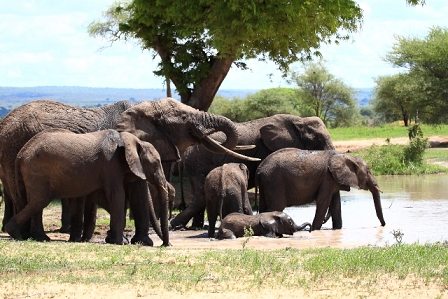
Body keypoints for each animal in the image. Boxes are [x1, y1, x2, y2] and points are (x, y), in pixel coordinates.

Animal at [5, 129, 168, 246]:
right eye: (156, 163)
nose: (166, 245)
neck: (128, 139)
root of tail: (21, 153)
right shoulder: (110, 165)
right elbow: (117, 195)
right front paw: (119, 242)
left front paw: (114, 239)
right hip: (36, 171)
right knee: (39, 201)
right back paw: (15, 233)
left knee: (35, 203)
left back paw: (40, 238)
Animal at [170, 115, 334, 230]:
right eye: (318, 140)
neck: (299, 121)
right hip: (198, 162)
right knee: (201, 197)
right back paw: (176, 224)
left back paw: (193, 226)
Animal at [254, 149, 386, 231]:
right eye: (368, 172)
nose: (383, 225)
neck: (346, 156)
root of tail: (259, 169)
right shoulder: (327, 178)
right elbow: (323, 202)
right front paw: (315, 229)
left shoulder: (333, 180)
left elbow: (335, 204)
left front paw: (337, 229)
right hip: (274, 181)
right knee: (275, 207)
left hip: (266, 182)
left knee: (263, 207)